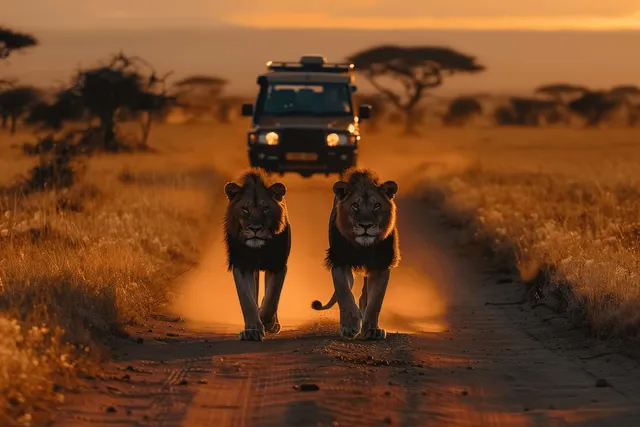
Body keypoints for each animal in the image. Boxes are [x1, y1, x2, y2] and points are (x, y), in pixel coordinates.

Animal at [223, 168, 291, 341]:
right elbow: (247, 300)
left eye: (265, 208)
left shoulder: (277, 264)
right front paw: (252, 330)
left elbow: (272, 297)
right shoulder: (242, 264)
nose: (255, 228)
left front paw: (267, 322)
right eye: (245, 209)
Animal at [311, 167, 400, 340]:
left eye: (377, 205)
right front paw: (350, 326)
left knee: (364, 297)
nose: (365, 225)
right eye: (355, 205)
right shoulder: (340, 261)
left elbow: (375, 301)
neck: (363, 246)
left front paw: (372, 330)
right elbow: (344, 294)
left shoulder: (381, 265)